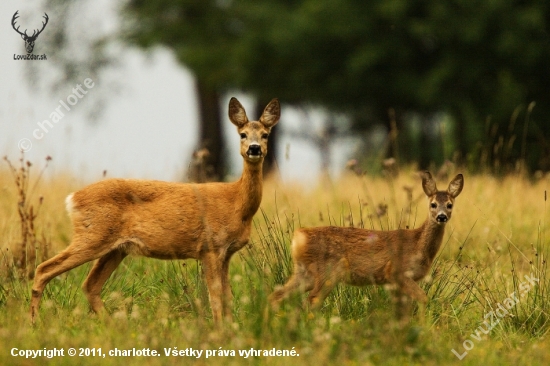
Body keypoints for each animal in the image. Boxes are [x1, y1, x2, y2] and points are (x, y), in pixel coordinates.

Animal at [30, 96, 280, 324]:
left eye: (265, 134)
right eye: (242, 134)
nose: (254, 148)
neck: (237, 204)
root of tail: (73, 199)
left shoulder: (226, 253)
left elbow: (227, 296)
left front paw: (231, 329)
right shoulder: (210, 247)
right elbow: (216, 296)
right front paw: (220, 331)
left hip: (116, 248)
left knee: (90, 285)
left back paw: (114, 325)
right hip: (92, 235)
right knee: (44, 269)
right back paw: (34, 322)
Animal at [270, 172, 464, 308]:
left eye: (450, 205)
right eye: (433, 204)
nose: (441, 216)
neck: (418, 245)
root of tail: (298, 237)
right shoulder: (395, 271)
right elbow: (423, 298)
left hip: (305, 272)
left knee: (277, 295)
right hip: (328, 271)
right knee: (311, 301)